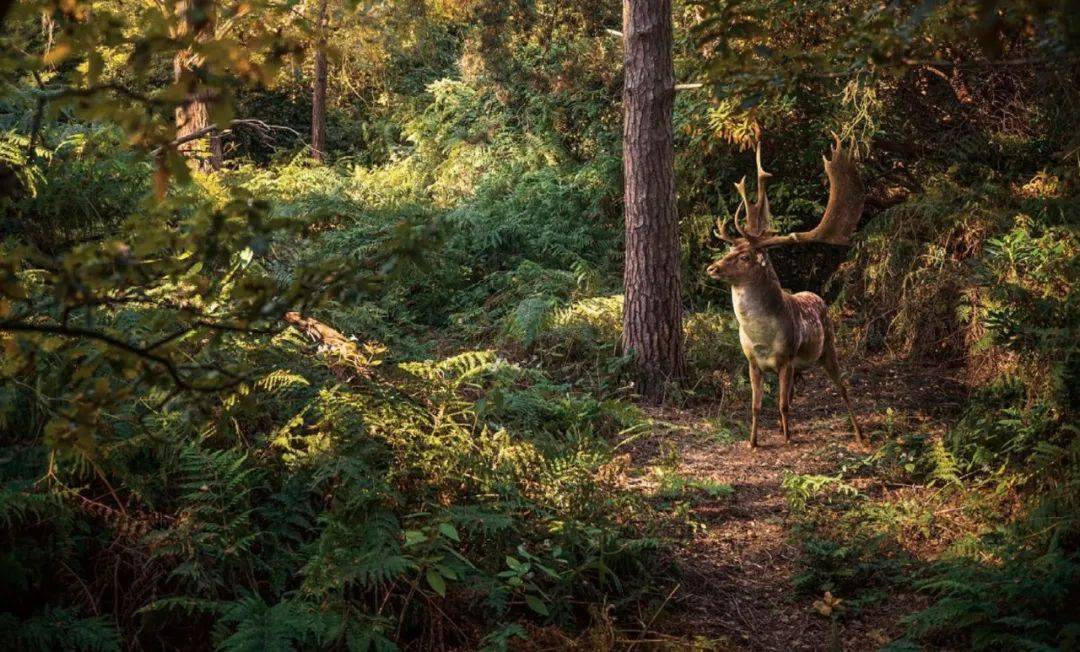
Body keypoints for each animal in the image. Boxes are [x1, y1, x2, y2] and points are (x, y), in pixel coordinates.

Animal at [708, 134, 868, 444]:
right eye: (730, 250)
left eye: (746, 257)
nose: (712, 268)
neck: (761, 337)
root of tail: (815, 295)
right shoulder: (752, 362)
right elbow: (757, 406)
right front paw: (754, 442)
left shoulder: (786, 359)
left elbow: (781, 403)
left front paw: (787, 440)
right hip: (802, 364)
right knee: (796, 394)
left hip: (828, 346)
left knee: (842, 388)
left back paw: (858, 432)